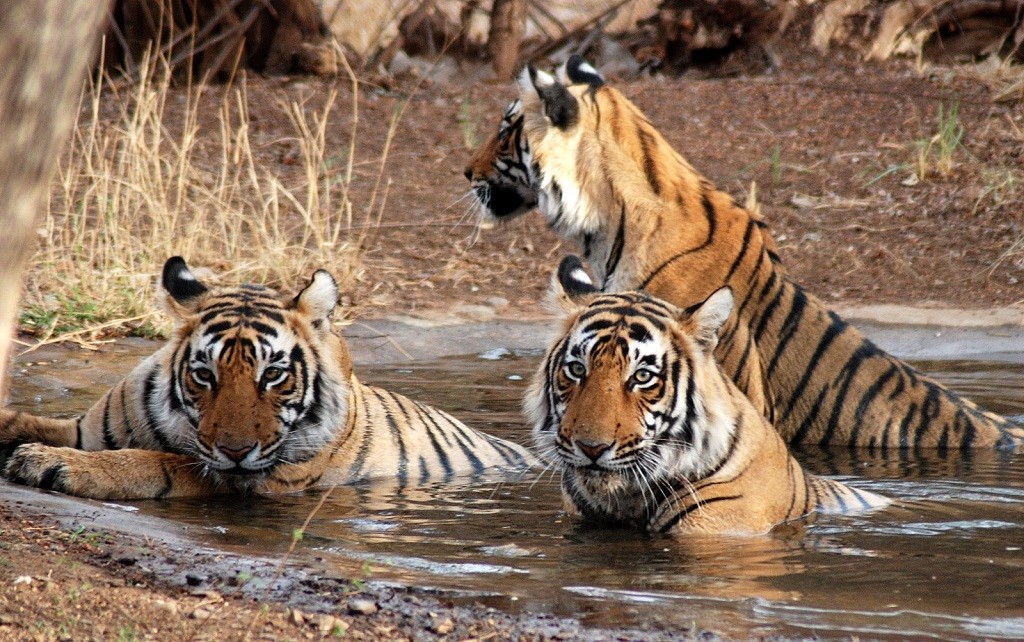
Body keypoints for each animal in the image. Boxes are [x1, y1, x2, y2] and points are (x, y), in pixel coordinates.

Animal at [0, 257, 534, 500]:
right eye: (204, 375)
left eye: (273, 375)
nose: (236, 450)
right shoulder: (83, 428)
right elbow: (25, 420)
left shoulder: (248, 478)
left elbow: (155, 462)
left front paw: (49, 464)